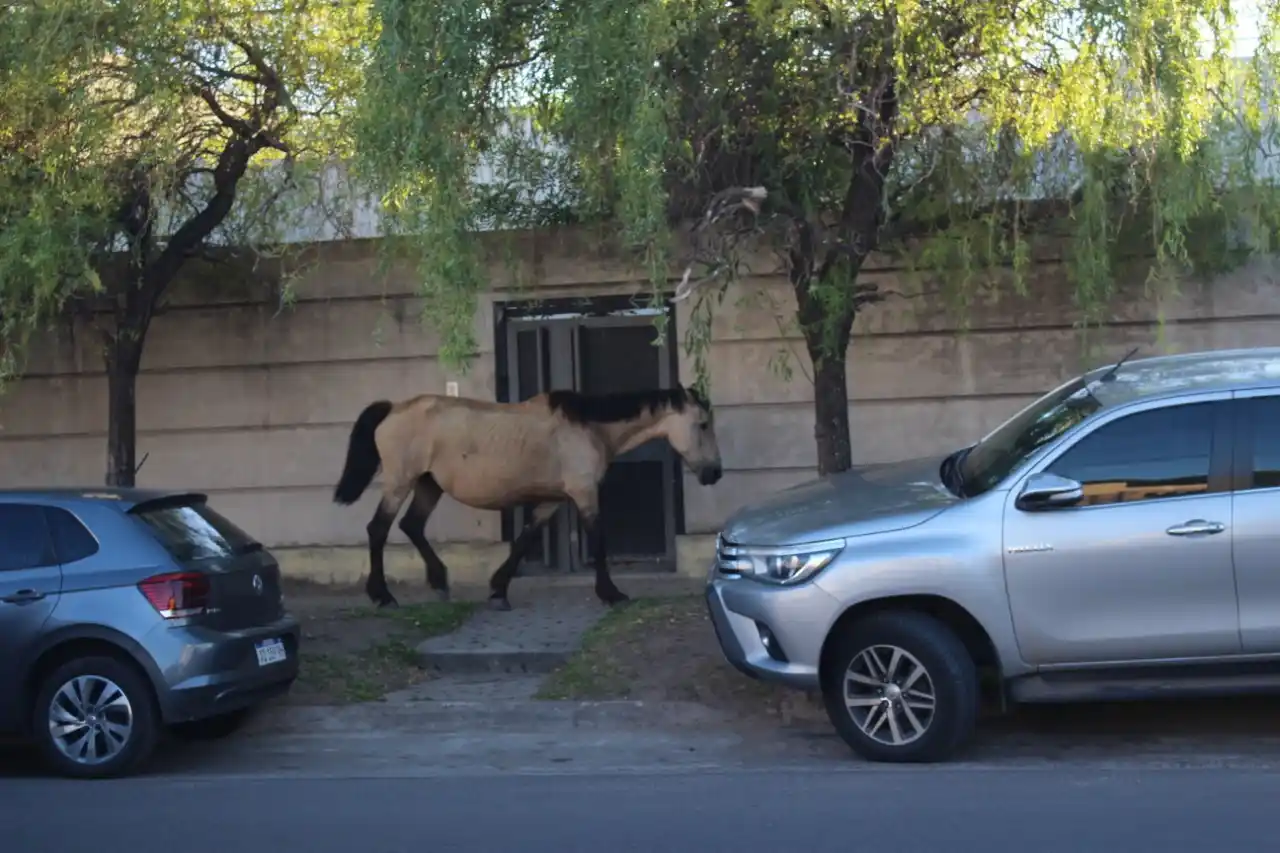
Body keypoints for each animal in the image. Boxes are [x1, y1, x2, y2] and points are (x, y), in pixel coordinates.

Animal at [330, 384, 724, 611]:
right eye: (703, 424)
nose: (715, 473)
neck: (590, 428)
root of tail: (392, 409)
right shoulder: (584, 493)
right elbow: (598, 540)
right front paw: (611, 593)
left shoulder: (554, 499)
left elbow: (525, 539)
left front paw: (498, 590)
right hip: (401, 482)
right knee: (378, 529)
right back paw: (383, 596)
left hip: (429, 484)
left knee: (412, 526)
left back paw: (439, 582)